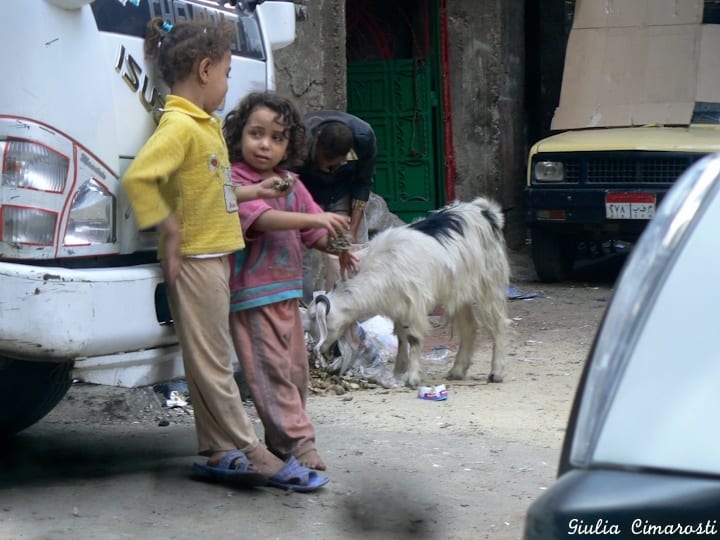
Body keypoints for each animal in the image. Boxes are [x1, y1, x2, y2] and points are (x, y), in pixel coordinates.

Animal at [306, 196, 510, 386]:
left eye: (316, 320)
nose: (319, 350)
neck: (382, 266)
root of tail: (485, 212)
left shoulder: (414, 302)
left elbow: (413, 338)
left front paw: (411, 377)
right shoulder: (399, 305)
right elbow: (401, 337)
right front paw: (398, 371)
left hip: (489, 282)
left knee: (498, 323)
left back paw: (496, 372)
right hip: (458, 289)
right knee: (469, 326)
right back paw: (457, 370)